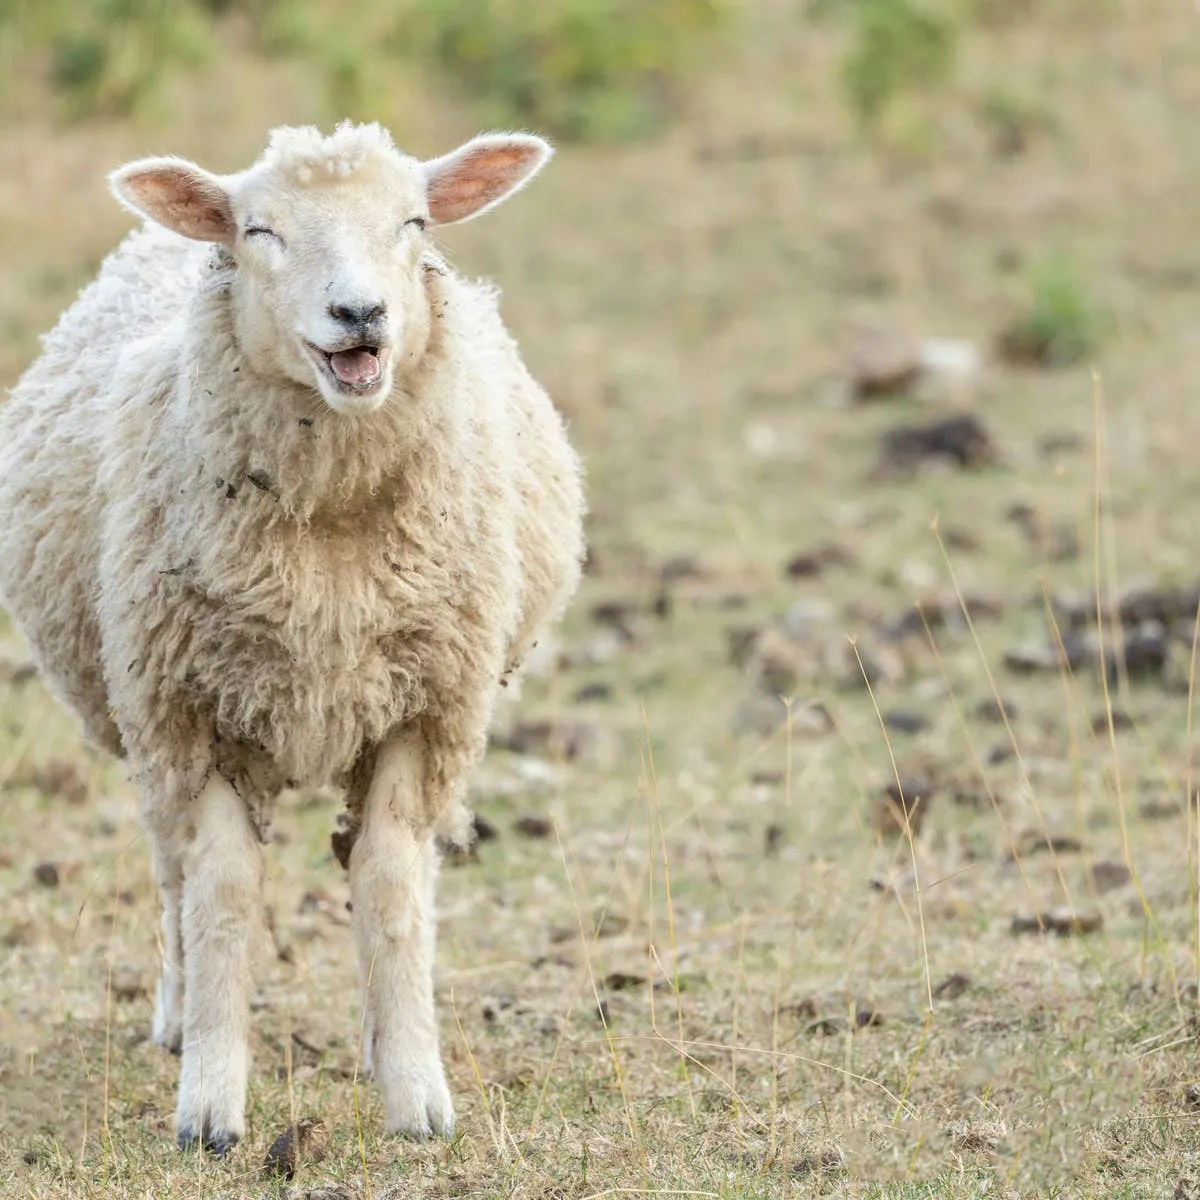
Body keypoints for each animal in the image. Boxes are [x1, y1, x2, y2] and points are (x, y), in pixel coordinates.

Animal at [0, 121, 585, 1155]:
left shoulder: (426, 707)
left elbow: (390, 885)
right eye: (260, 230)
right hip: (140, 716)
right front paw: (209, 1106)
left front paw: (415, 1092)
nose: (361, 313)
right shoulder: (192, 710)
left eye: (415, 221)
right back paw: (178, 1018)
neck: (331, 537)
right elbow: (223, 893)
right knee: (172, 872)